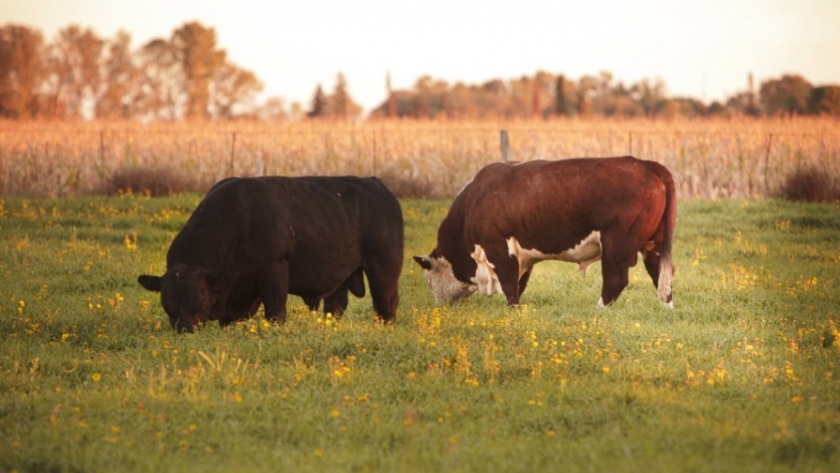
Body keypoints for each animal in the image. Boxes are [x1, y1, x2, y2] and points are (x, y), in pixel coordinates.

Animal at [138, 174, 404, 332]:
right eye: (167, 300)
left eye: (200, 297)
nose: (185, 330)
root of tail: (375, 183)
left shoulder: (273, 270)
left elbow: (276, 311)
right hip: (340, 276)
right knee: (336, 305)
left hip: (383, 268)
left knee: (386, 305)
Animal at [414, 157, 676, 308]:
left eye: (428, 281)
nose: (440, 306)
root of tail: (645, 164)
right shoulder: (522, 256)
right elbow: (520, 283)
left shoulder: (498, 247)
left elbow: (509, 284)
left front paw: (514, 310)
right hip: (653, 244)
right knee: (662, 274)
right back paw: (666, 307)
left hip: (617, 244)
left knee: (616, 280)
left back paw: (599, 309)